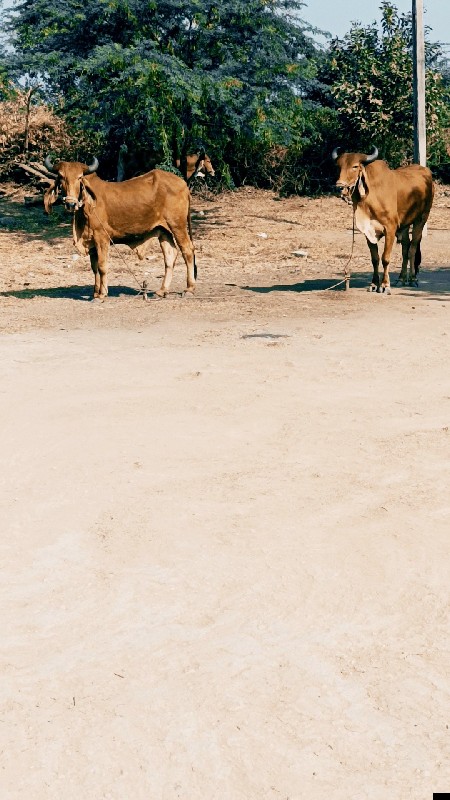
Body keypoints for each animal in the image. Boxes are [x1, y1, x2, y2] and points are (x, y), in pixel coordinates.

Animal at [43, 158, 195, 302]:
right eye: (61, 176)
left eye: (80, 177)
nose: (71, 204)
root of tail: (183, 184)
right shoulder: (92, 242)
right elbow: (94, 268)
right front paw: (95, 293)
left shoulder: (101, 238)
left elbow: (102, 266)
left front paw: (102, 294)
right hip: (163, 230)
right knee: (170, 255)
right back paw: (162, 291)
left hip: (177, 226)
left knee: (187, 250)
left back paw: (189, 289)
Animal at [332, 145, 434, 292]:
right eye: (339, 166)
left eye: (355, 166)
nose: (339, 186)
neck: (370, 198)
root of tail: (426, 172)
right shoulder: (368, 231)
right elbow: (375, 259)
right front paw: (374, 284)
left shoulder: (390, 229)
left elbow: (386, 258)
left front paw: (385, 285)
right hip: (404, 225)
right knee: (405, 248)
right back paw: (401, 278)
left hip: (421, 218)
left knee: (413, 248)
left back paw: (413, 279)